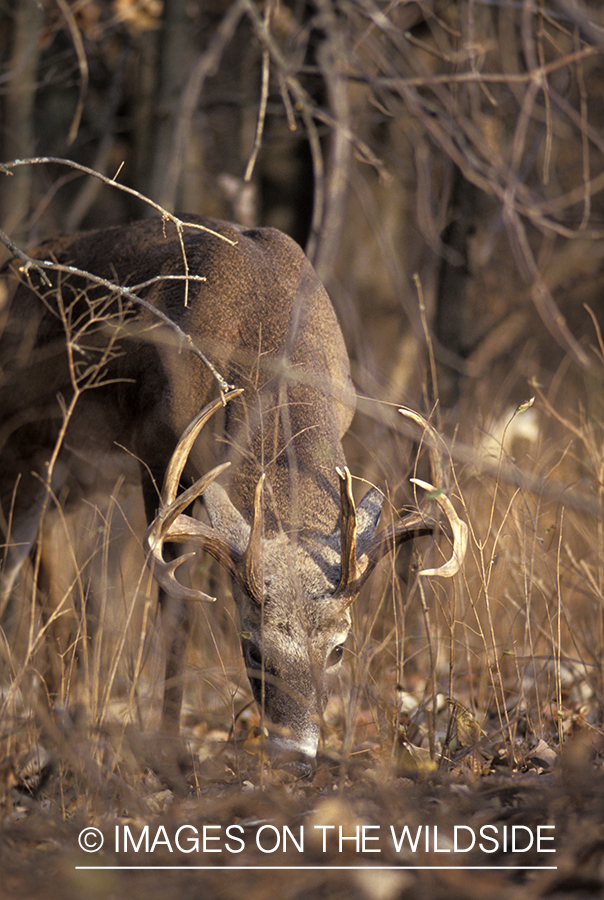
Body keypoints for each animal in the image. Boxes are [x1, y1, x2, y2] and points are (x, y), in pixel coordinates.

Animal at [0, 216, 468, 760]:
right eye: (252, 648)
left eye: (338, 649)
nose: (295, 758)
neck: (264, 333)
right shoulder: (157, 449)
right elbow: (176, 610)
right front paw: (169, 750)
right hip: (21, 448)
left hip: (64, 479)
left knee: (50, 583)